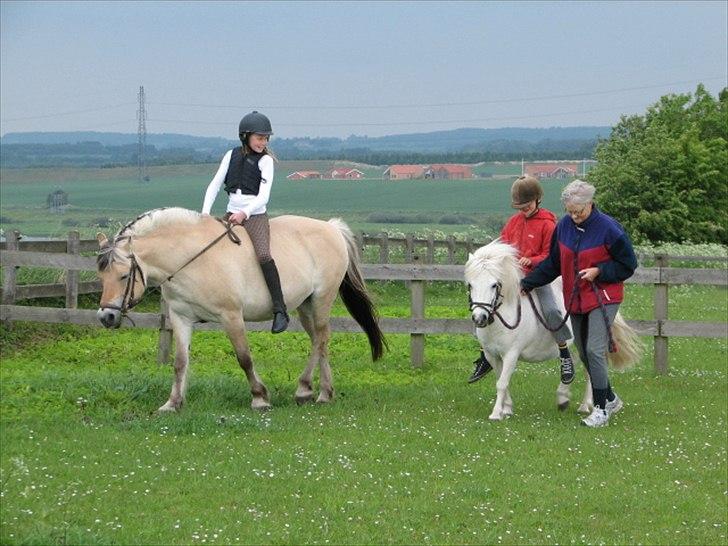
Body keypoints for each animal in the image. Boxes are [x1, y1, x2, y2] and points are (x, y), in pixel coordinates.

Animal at [96, 207, 386, 408]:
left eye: (123, 275)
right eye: (101, 276)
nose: (106, 316)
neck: (191, 259)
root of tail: (331, 228)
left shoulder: (231, 316)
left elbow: (244, 357)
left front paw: (259, 397)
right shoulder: (180, 317)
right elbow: (179, 362)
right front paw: (172, 403)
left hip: (322, 299)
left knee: (322, 338)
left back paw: (316, 392)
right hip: (305, 305)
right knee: (318, 339)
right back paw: (314, 391)